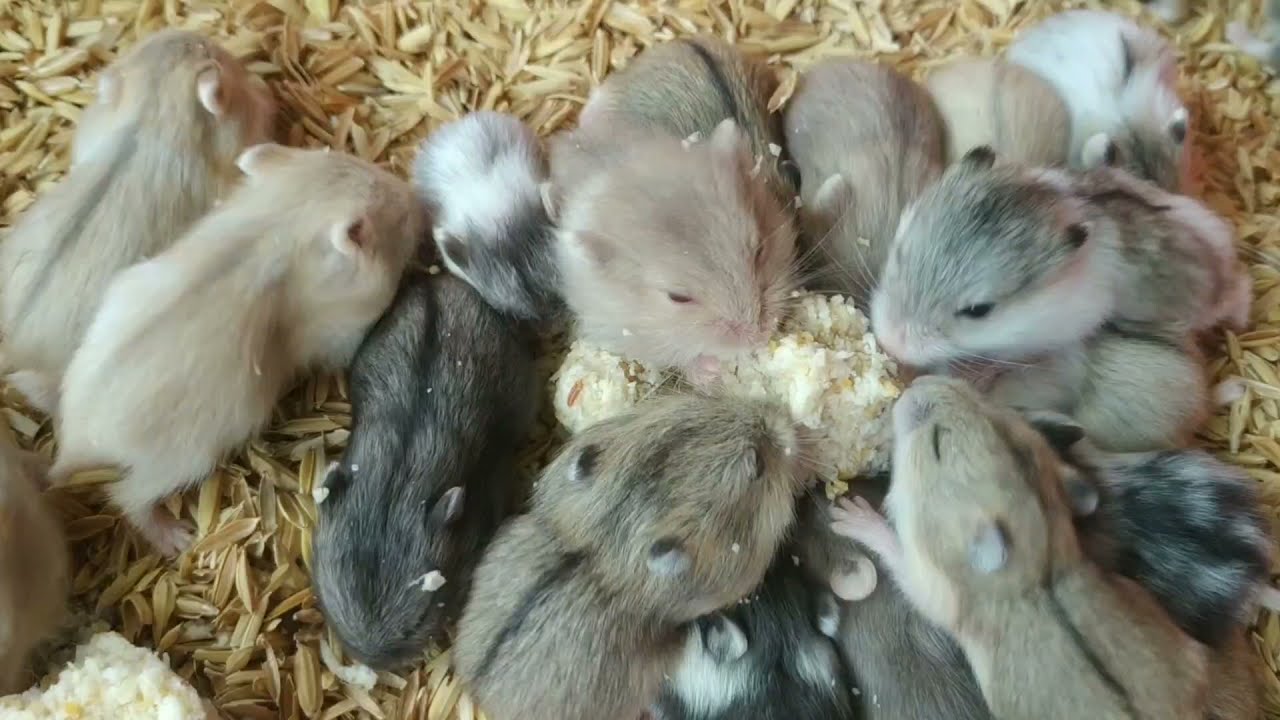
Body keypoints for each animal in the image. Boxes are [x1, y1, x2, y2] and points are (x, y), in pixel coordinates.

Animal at [50, 144, 427, 555]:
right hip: (183, 461)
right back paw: (176, 538)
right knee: (127, 497)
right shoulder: (340, 334)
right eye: (401, 217)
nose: (415, 197)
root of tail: (74, 443)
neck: (282, 220)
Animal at [831, 376, 1210, 720]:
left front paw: (849, 513)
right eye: (993, 407)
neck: (1043, 563)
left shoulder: (937, 592)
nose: (915, 381)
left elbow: (897, 556)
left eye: (937, 444)